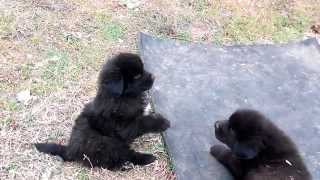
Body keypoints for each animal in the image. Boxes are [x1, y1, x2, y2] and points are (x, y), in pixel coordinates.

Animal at [34, 52, 170, 169]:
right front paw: (162, 122)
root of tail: (69, 150)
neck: (123, 97)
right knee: (122, 156)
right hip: (105, 144)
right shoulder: (124, 127)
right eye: (137, 76)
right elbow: (143, 122)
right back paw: (145, 159)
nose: (154, 76)